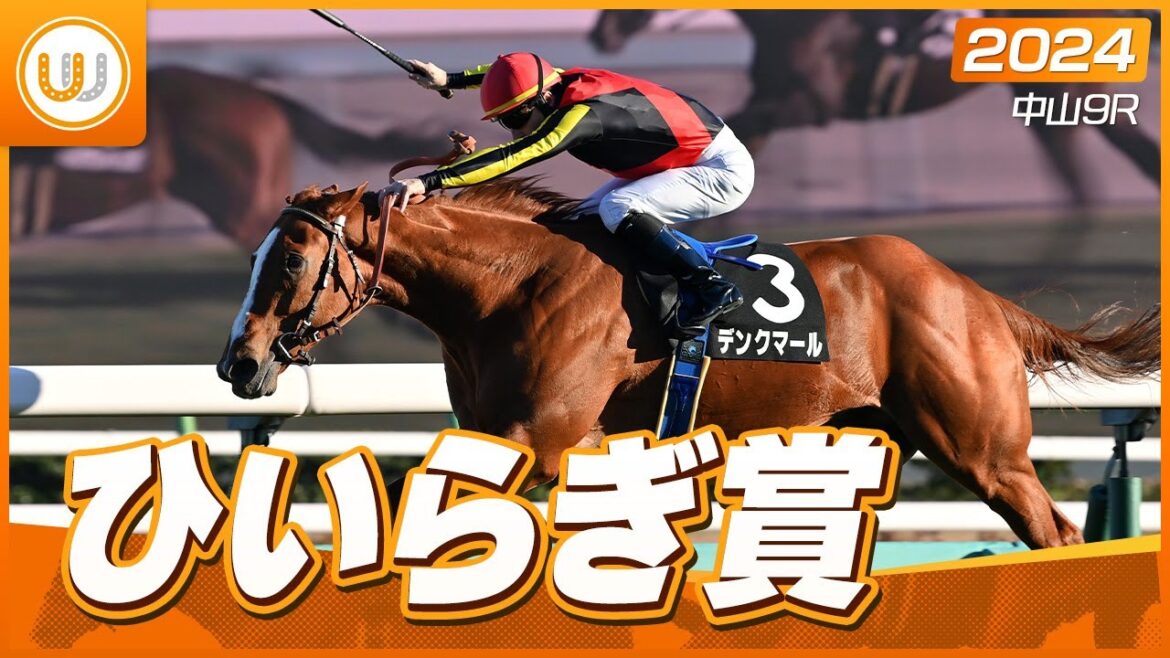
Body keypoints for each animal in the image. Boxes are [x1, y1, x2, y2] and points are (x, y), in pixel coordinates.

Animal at [217, 179, 1160, 549]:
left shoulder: (537, 437)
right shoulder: (540, 440)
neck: (505, 285)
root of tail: (979, 297)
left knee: (1054, 532)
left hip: (983, 448)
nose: (239, 363)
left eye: (291, 260)